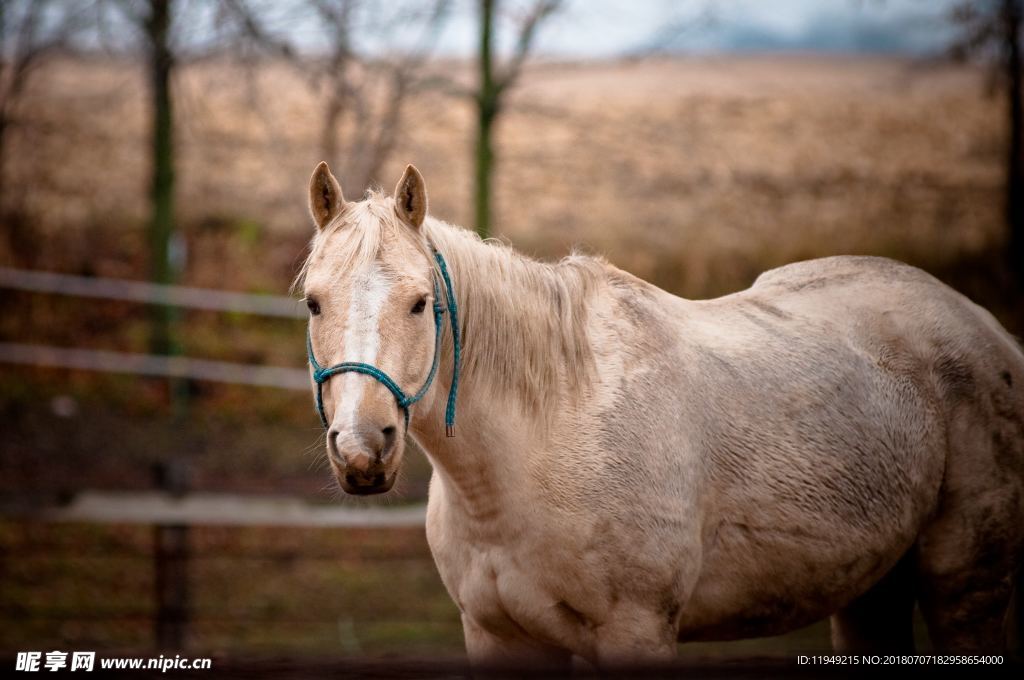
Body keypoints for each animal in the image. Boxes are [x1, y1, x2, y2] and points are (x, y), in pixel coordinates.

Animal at [299, 161, 1024, 667]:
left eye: (421, 303)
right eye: (312, 303)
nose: (363, 447)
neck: (540, 443)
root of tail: (988, 329)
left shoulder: (637, 628)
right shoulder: (497, 636)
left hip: (965, 584)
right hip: (870, 588)